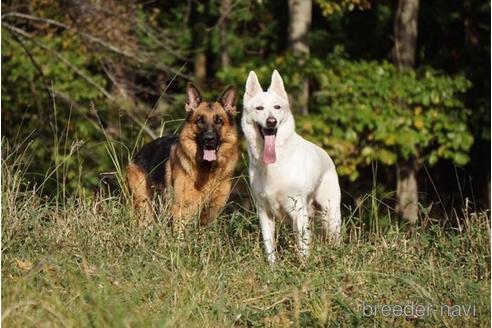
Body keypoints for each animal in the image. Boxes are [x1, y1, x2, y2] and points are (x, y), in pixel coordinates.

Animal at [126, 83, 239, 229]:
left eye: (219, 121)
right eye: (200, 121)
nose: (209, 139)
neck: (208, 171)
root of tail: (140, 152)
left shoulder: (210, 214)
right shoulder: (182, 211)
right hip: (145, 208)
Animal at [240, 70, 340, 264]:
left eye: (277, 107)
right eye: (259, 108)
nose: (271, 121)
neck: (273, 165)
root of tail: (326, 155)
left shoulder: (298, 213)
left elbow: (303, 250)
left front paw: (304, 267)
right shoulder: (264, 213)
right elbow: (269, 248)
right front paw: (273, 269)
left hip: (330, 217)